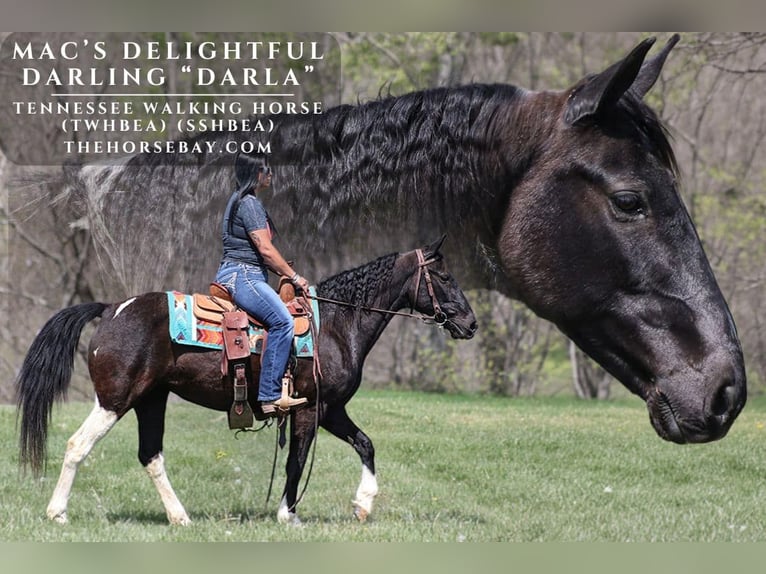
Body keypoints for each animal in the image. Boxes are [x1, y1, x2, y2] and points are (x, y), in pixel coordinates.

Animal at [16, 236, 477, 525]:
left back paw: (180, 517)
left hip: (151, 400)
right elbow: (297, 460)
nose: (470, 323)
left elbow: (366, 444)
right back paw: (57, 513)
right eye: (445, 278)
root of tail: (112, 308)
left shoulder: (332, 409)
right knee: (78, 446)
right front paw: (287, 514)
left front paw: (362, 506)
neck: (334, 324)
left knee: (151, 456)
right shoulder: (311, 408)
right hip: (115, 399)